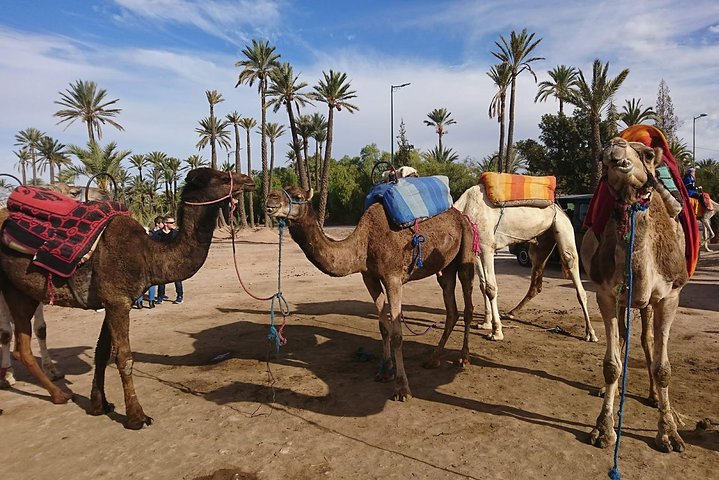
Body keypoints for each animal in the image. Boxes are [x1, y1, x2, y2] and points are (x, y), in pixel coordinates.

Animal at [0, 168, 254, 429]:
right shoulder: (117, 301)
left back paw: (59, 394)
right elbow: (124, 357)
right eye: (223, 178)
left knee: (22, 347)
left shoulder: (113, 301)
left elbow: (102, 353)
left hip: (19, 290)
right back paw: (50, 392)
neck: (147, 255)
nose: (249, 180)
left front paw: (99, 405)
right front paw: (137, 416)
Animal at [265, 186, 475, 401]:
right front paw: (385, 371)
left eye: (298, 196)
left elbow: (397, 334)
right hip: (445, 267)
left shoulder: (393, 278)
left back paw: (463, 358)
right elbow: (383, 327)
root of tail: (461, 216)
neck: (364, 243)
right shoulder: (370, 278)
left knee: (468, 304)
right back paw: (433, 359)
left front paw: (402, 389)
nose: (270, 199)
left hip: (467, 248)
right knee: (451, 308)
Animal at [451, 185, 597, 342]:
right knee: (536, 282)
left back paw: (591, 333)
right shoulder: (476, 250)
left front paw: (496, 332)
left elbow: (491, 288)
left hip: (562, 227)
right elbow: (483, 286)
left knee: (572, 266)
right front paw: (485, 323)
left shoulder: (486, 246)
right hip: (540, 244)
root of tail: (560, 209)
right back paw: (510, 313)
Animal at [581, 137, 690, 452]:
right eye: (602, 157)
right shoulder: (606, 294)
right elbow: (611, 364)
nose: (616, 152)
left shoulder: (670, 296)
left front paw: (669, 433)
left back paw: (656, 399)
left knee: (647, 339)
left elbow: (663, 367)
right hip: (626, 301)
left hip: (648, 303)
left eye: (648, 154)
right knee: (626, 336)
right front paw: (603, 429)